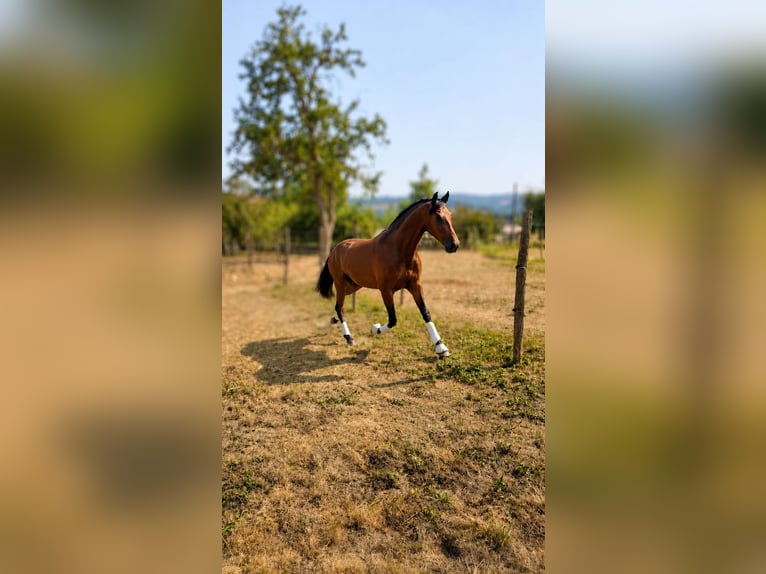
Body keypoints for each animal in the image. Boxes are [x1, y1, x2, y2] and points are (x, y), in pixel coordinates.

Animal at [316, 191, 460, 358]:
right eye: (438, 216)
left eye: (450, 215)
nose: (454, 245)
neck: (398, 250)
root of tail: (335, 250)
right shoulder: (386, 290)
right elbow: (393, 319)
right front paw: (374, 328)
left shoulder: (415, 285)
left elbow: (425, 312)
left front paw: (441, 348)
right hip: (340, 283)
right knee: (340, 307)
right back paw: (349, 338)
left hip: (354, 285)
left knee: (338, 306)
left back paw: (333, 320)